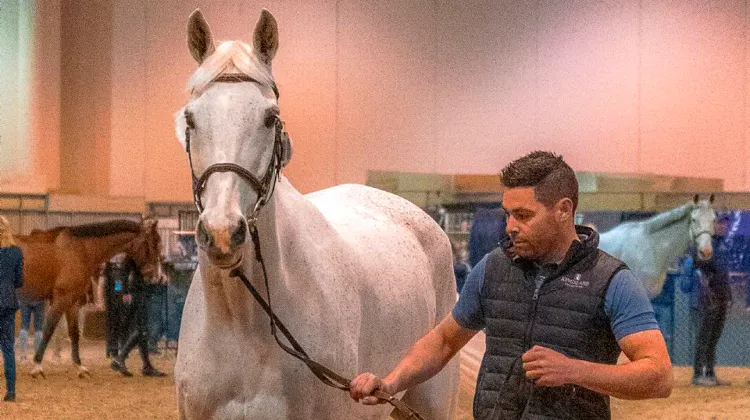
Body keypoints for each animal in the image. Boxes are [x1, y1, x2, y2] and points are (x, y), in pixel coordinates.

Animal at [17, 218, 162, 378]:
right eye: (153, 242)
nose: (155, 276)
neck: (81, 249)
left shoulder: (72, 303)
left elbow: (74, 334)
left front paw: (80, 367)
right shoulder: (61, 299)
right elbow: (48, 330)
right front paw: (37, 366)